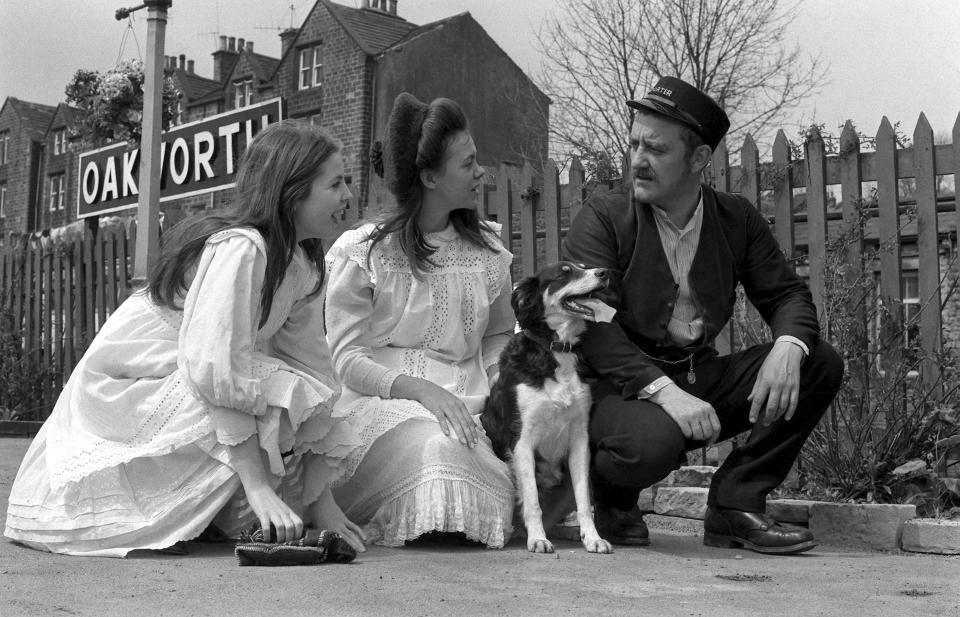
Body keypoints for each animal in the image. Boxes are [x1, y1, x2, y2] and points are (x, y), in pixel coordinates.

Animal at [480, 260, 616, 552]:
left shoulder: (580, 440)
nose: (604, 273)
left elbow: (584, 502)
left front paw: (593, 538)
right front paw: (538, 539)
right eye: (564, 273)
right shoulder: (522, 440)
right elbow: (532, 501)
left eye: (585, 267)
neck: (557, 349)